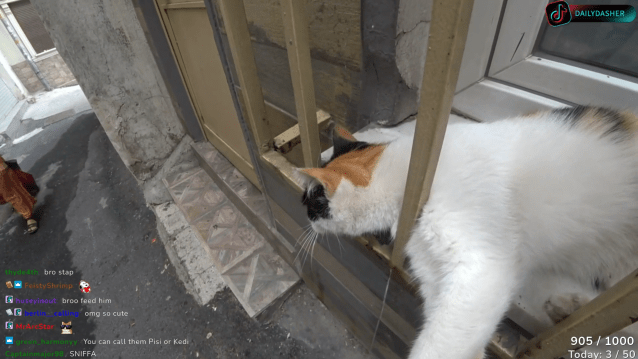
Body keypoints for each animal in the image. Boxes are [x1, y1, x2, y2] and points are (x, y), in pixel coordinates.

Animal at [298, 107, 638, 359]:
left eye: (311, 202)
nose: (301, 207)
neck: (416, 172)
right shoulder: (435, 276)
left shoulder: (483, 268)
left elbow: (439, 344)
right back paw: (567, 307)